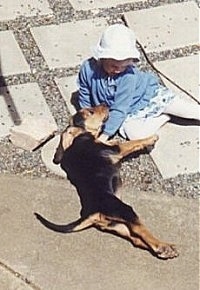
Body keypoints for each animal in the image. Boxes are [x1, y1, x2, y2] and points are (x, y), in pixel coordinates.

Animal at [34, 105, 178, 260]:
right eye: (90, 112)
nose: (105, 104)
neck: (80, 136)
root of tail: (92, 212)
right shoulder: (117, 150)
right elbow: (130, 143)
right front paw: (151, 138)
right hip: (124, 210)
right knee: (140, 231)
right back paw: (162, 247)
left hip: (114, 224)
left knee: (136, 238)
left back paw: (165, 248)